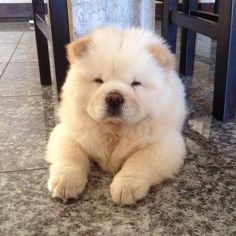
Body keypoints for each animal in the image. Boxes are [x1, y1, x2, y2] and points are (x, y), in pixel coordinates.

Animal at [45, 27, 186, 205]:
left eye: (135, 83)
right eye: (98, 80)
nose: (114, 98)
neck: (114, 129)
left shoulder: (165, 143)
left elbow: (139, 160)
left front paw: (126, 187)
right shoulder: (67, 132)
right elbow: (71, 156)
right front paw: (65, 183)